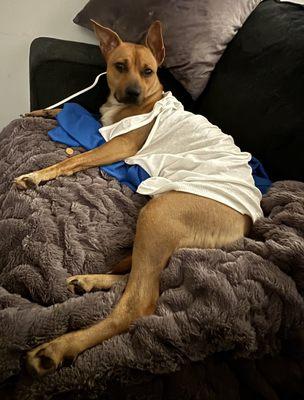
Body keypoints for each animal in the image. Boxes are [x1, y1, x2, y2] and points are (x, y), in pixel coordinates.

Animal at [14, 19, 262, 376]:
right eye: (119, 66)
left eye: (148, 71)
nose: (132, 93)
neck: (141, 103)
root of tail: (246, 225)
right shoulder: (101, 128)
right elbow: (70, 109)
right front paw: (40, 111)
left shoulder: (115, 145)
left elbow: (73, 156)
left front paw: (37, 174)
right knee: (129, 277)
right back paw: (90, 282)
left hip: (157, 216)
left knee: (136, 303)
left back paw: (58, 348)